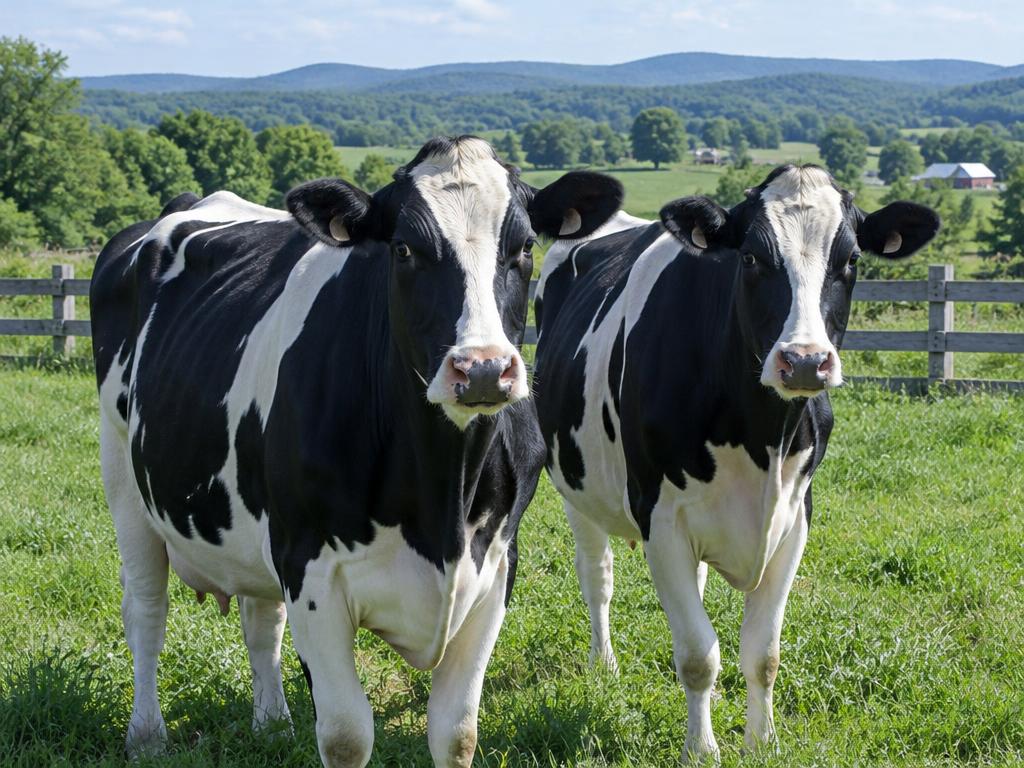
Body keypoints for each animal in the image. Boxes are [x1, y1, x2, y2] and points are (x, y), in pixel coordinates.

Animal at [89, 135, 624, 767]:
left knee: (260, 618)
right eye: (404, 248)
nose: (483, 369)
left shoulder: (494, 567)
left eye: (522, 248)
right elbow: (346, 735)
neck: (441, 497)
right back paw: (147, 734)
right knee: (146, 607)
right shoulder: (310, 568)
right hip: (124, 477)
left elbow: (457, 733)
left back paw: (272, 724)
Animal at [532, 164, 939, 763]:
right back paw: (603, 664)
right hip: (575, 484)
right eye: (749, 258)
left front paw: (762, 741)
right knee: (597, 576)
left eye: (850, 261)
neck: (760, 436)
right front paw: (701, 750)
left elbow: (762, 653)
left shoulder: (795, 519)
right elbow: (698, 655)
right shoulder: (660, 520)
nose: (805, 361)